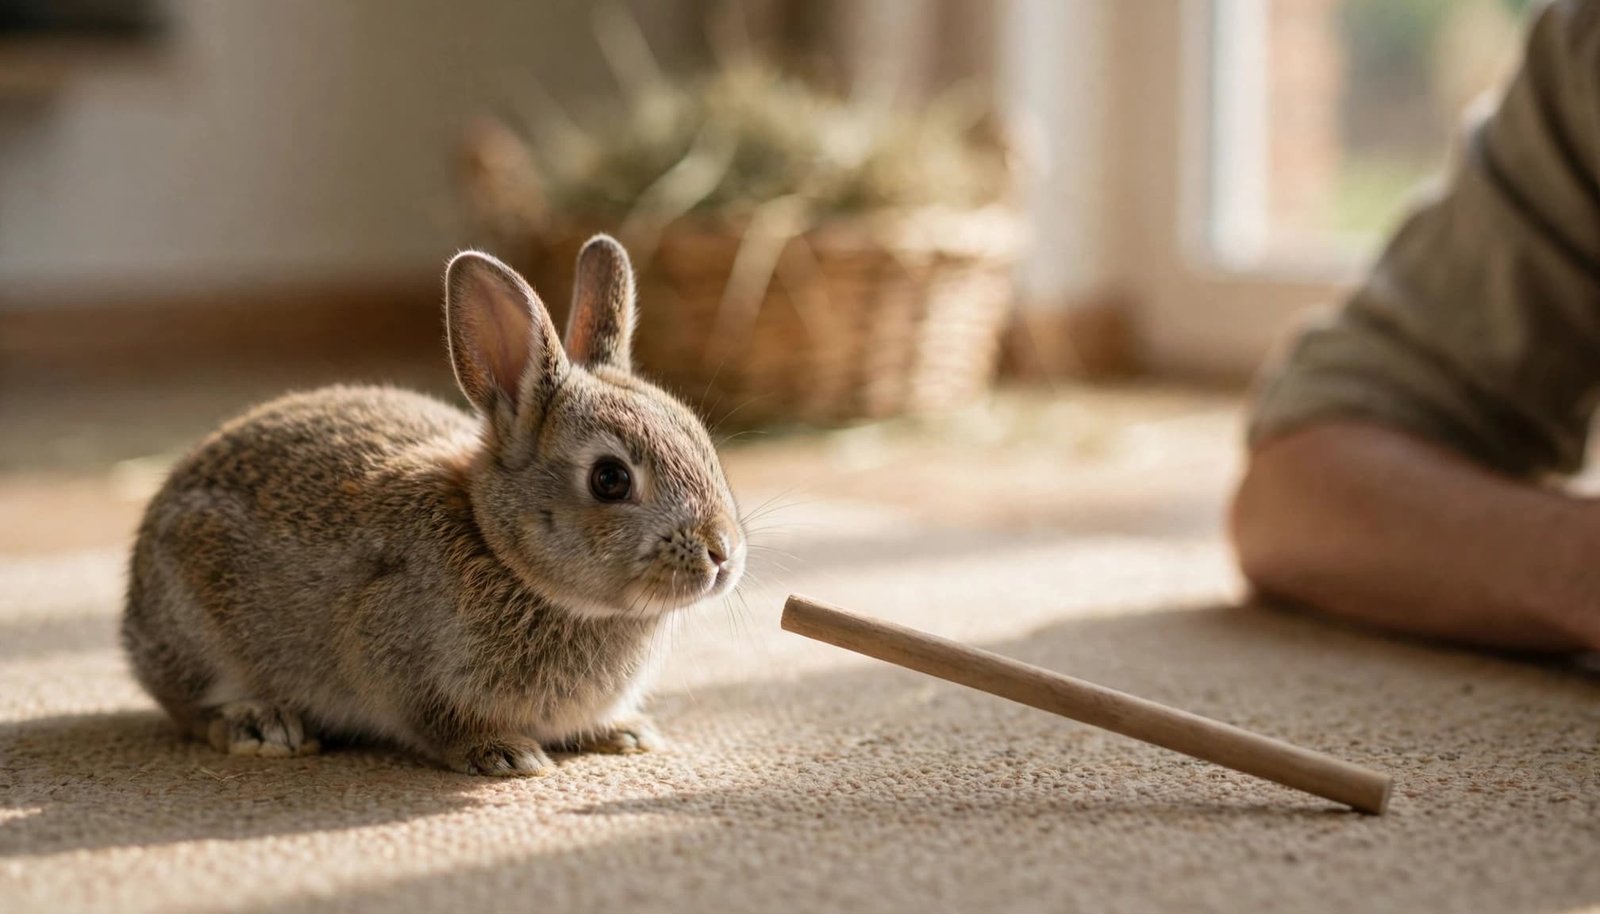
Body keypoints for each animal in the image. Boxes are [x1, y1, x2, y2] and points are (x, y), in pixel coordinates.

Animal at [121, 236, 746, 775]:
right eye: (610, 480)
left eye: (701, 440)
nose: (722, 554)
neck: (499, 550)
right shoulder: (395, 660)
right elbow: (436, 721)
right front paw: (505, 754)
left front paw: (626, 732)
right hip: (198, 622)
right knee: (190, 708)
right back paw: (260, 725)